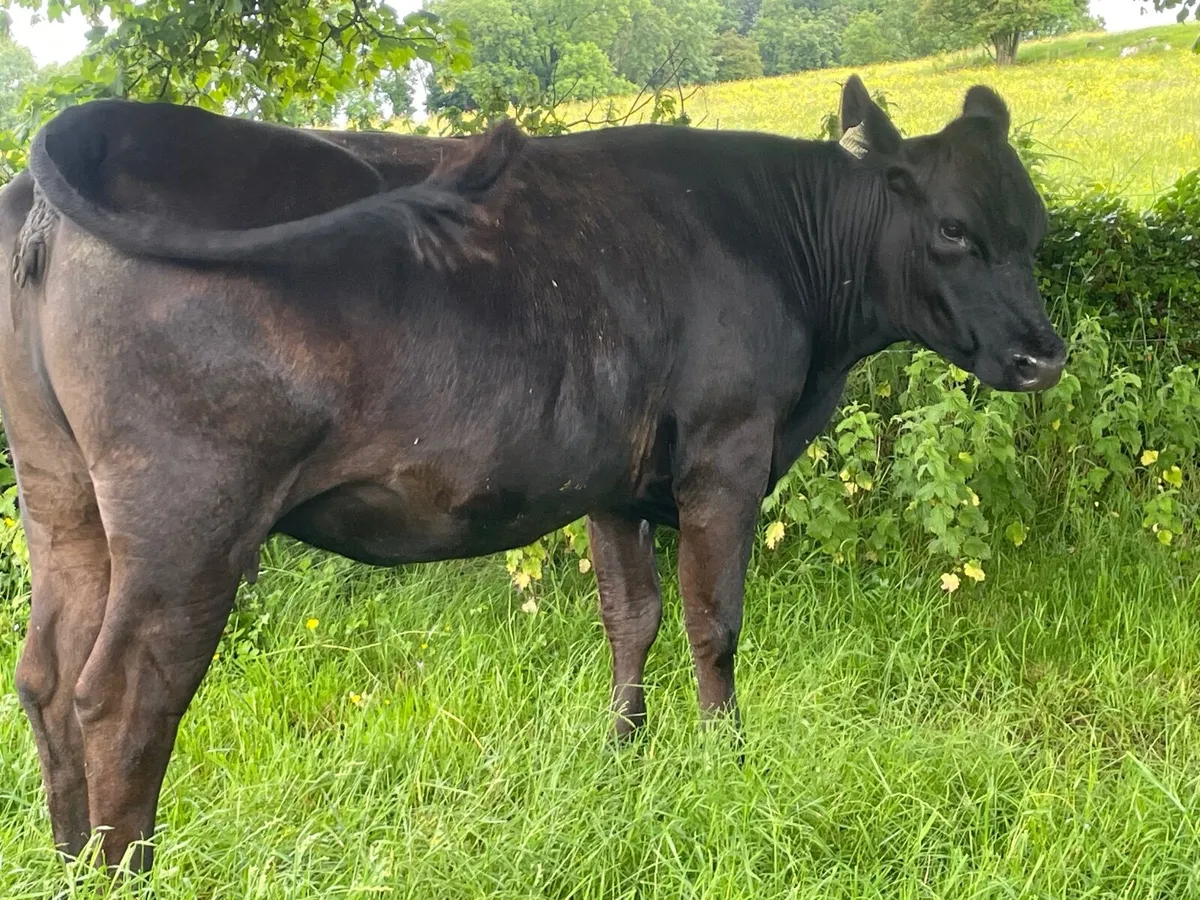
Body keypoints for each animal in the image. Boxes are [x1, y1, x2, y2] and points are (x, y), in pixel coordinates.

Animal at [0, 75, 1066, 874]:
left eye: (1036, 227)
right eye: (954, 229)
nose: (1042, 355)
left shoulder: (612, 481)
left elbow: (630, 617)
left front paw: (626, 761)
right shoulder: (726, 452)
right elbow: (711, 624)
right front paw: (728, 767)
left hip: (64, 499)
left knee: (47, 678)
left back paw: (69, 862)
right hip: (189, 510)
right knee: (125, 694)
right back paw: (127, 872)